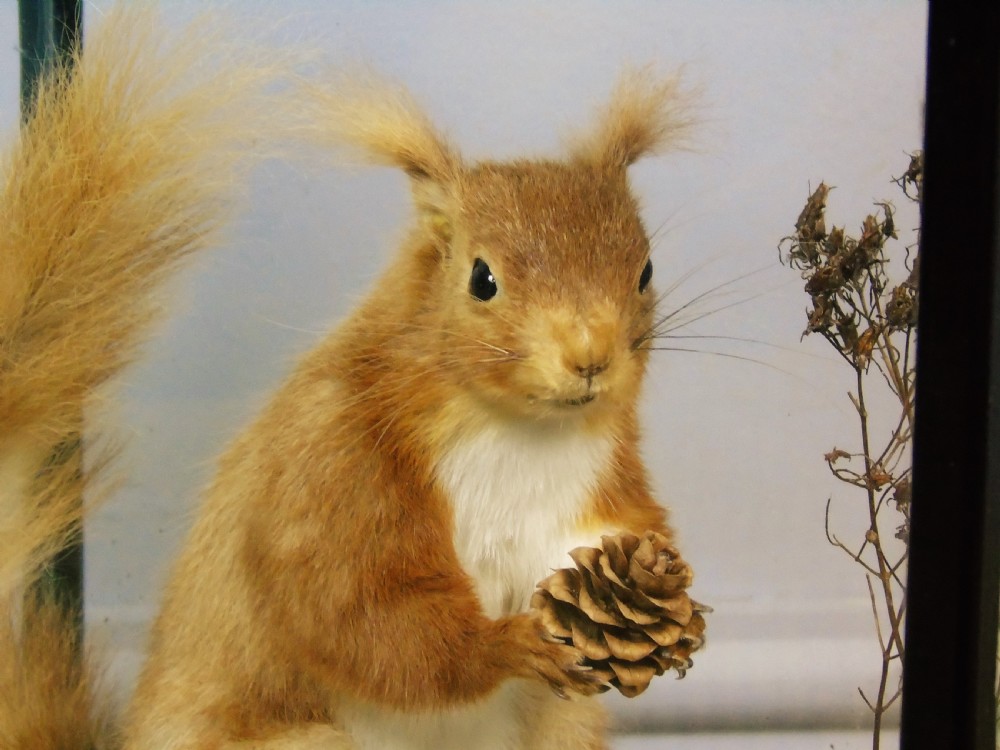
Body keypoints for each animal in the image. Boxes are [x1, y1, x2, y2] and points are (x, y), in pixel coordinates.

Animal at [0, 6, 701, 750]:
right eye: (482, 278)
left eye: (646, 270)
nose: (590, 356)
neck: (524, 433)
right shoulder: (335, 463)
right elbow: (360, 611)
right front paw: (508, 644)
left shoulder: (596, 483)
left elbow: (621, 526)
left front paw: (669, 590)